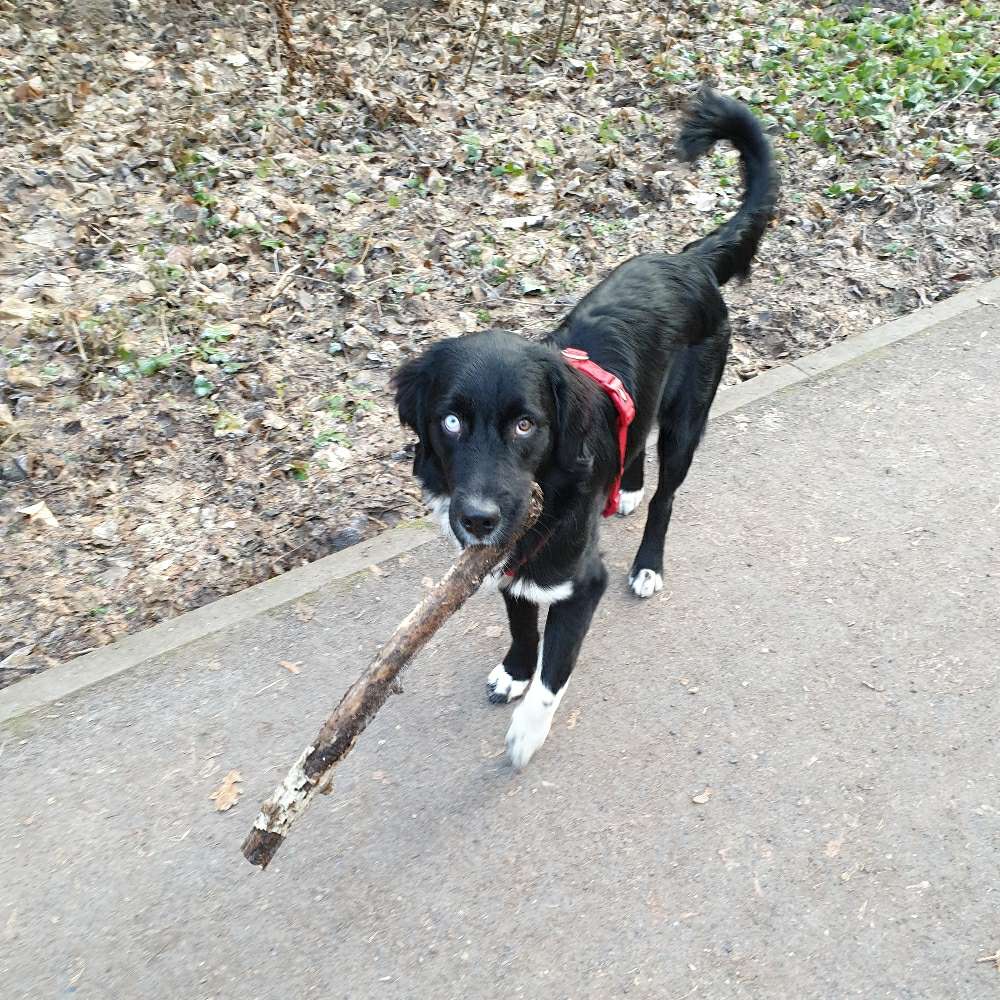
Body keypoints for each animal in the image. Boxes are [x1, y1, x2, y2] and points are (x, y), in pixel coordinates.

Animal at [394, 90, 776, 768]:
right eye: (451, 421)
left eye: (526, 425)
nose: (479, 520)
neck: (552, 492)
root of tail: (689, 260)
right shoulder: (507, 563)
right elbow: (523, 624)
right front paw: (514, 670)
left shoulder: (579, 580)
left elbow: (556, 666)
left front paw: (527, 727)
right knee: (636, 439)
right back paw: (624, 488)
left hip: (687, 423)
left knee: (668, 495)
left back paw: (648, 559)